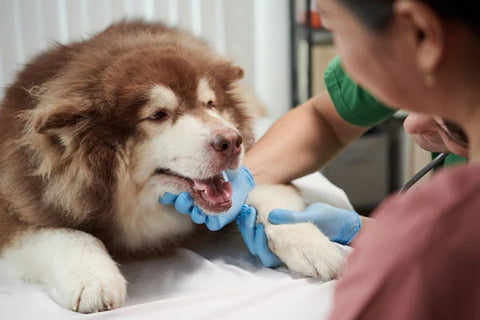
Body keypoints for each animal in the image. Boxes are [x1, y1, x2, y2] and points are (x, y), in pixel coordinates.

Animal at [0, 21, 344, 312]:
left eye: (210, 104)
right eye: (158, 115)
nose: (232, 141)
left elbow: (269, 201)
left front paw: (312, 244)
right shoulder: (18, 211)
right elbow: (71, 236)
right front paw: (93, 279)